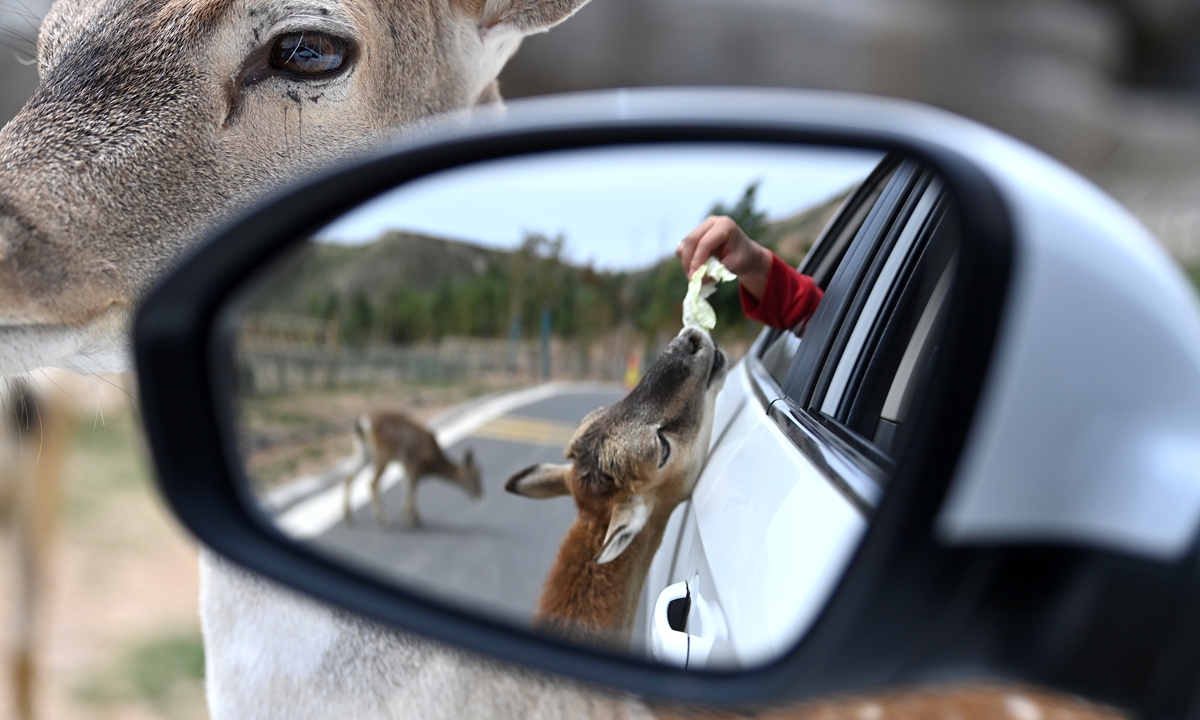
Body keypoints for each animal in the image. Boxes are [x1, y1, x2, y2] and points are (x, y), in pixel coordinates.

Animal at [342, 411, 482, 528]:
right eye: (474, 476)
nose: (480, 494)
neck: (433, 462)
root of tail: (363, 424)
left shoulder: (406, 466)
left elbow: (407, 487)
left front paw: (412, 516)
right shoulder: (415, 465)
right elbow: (412, 489)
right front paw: (411, 519)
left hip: (363, 453)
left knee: (349, 475)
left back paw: (348, 517)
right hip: (383, 454)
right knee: (372, 483)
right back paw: (384, 520)